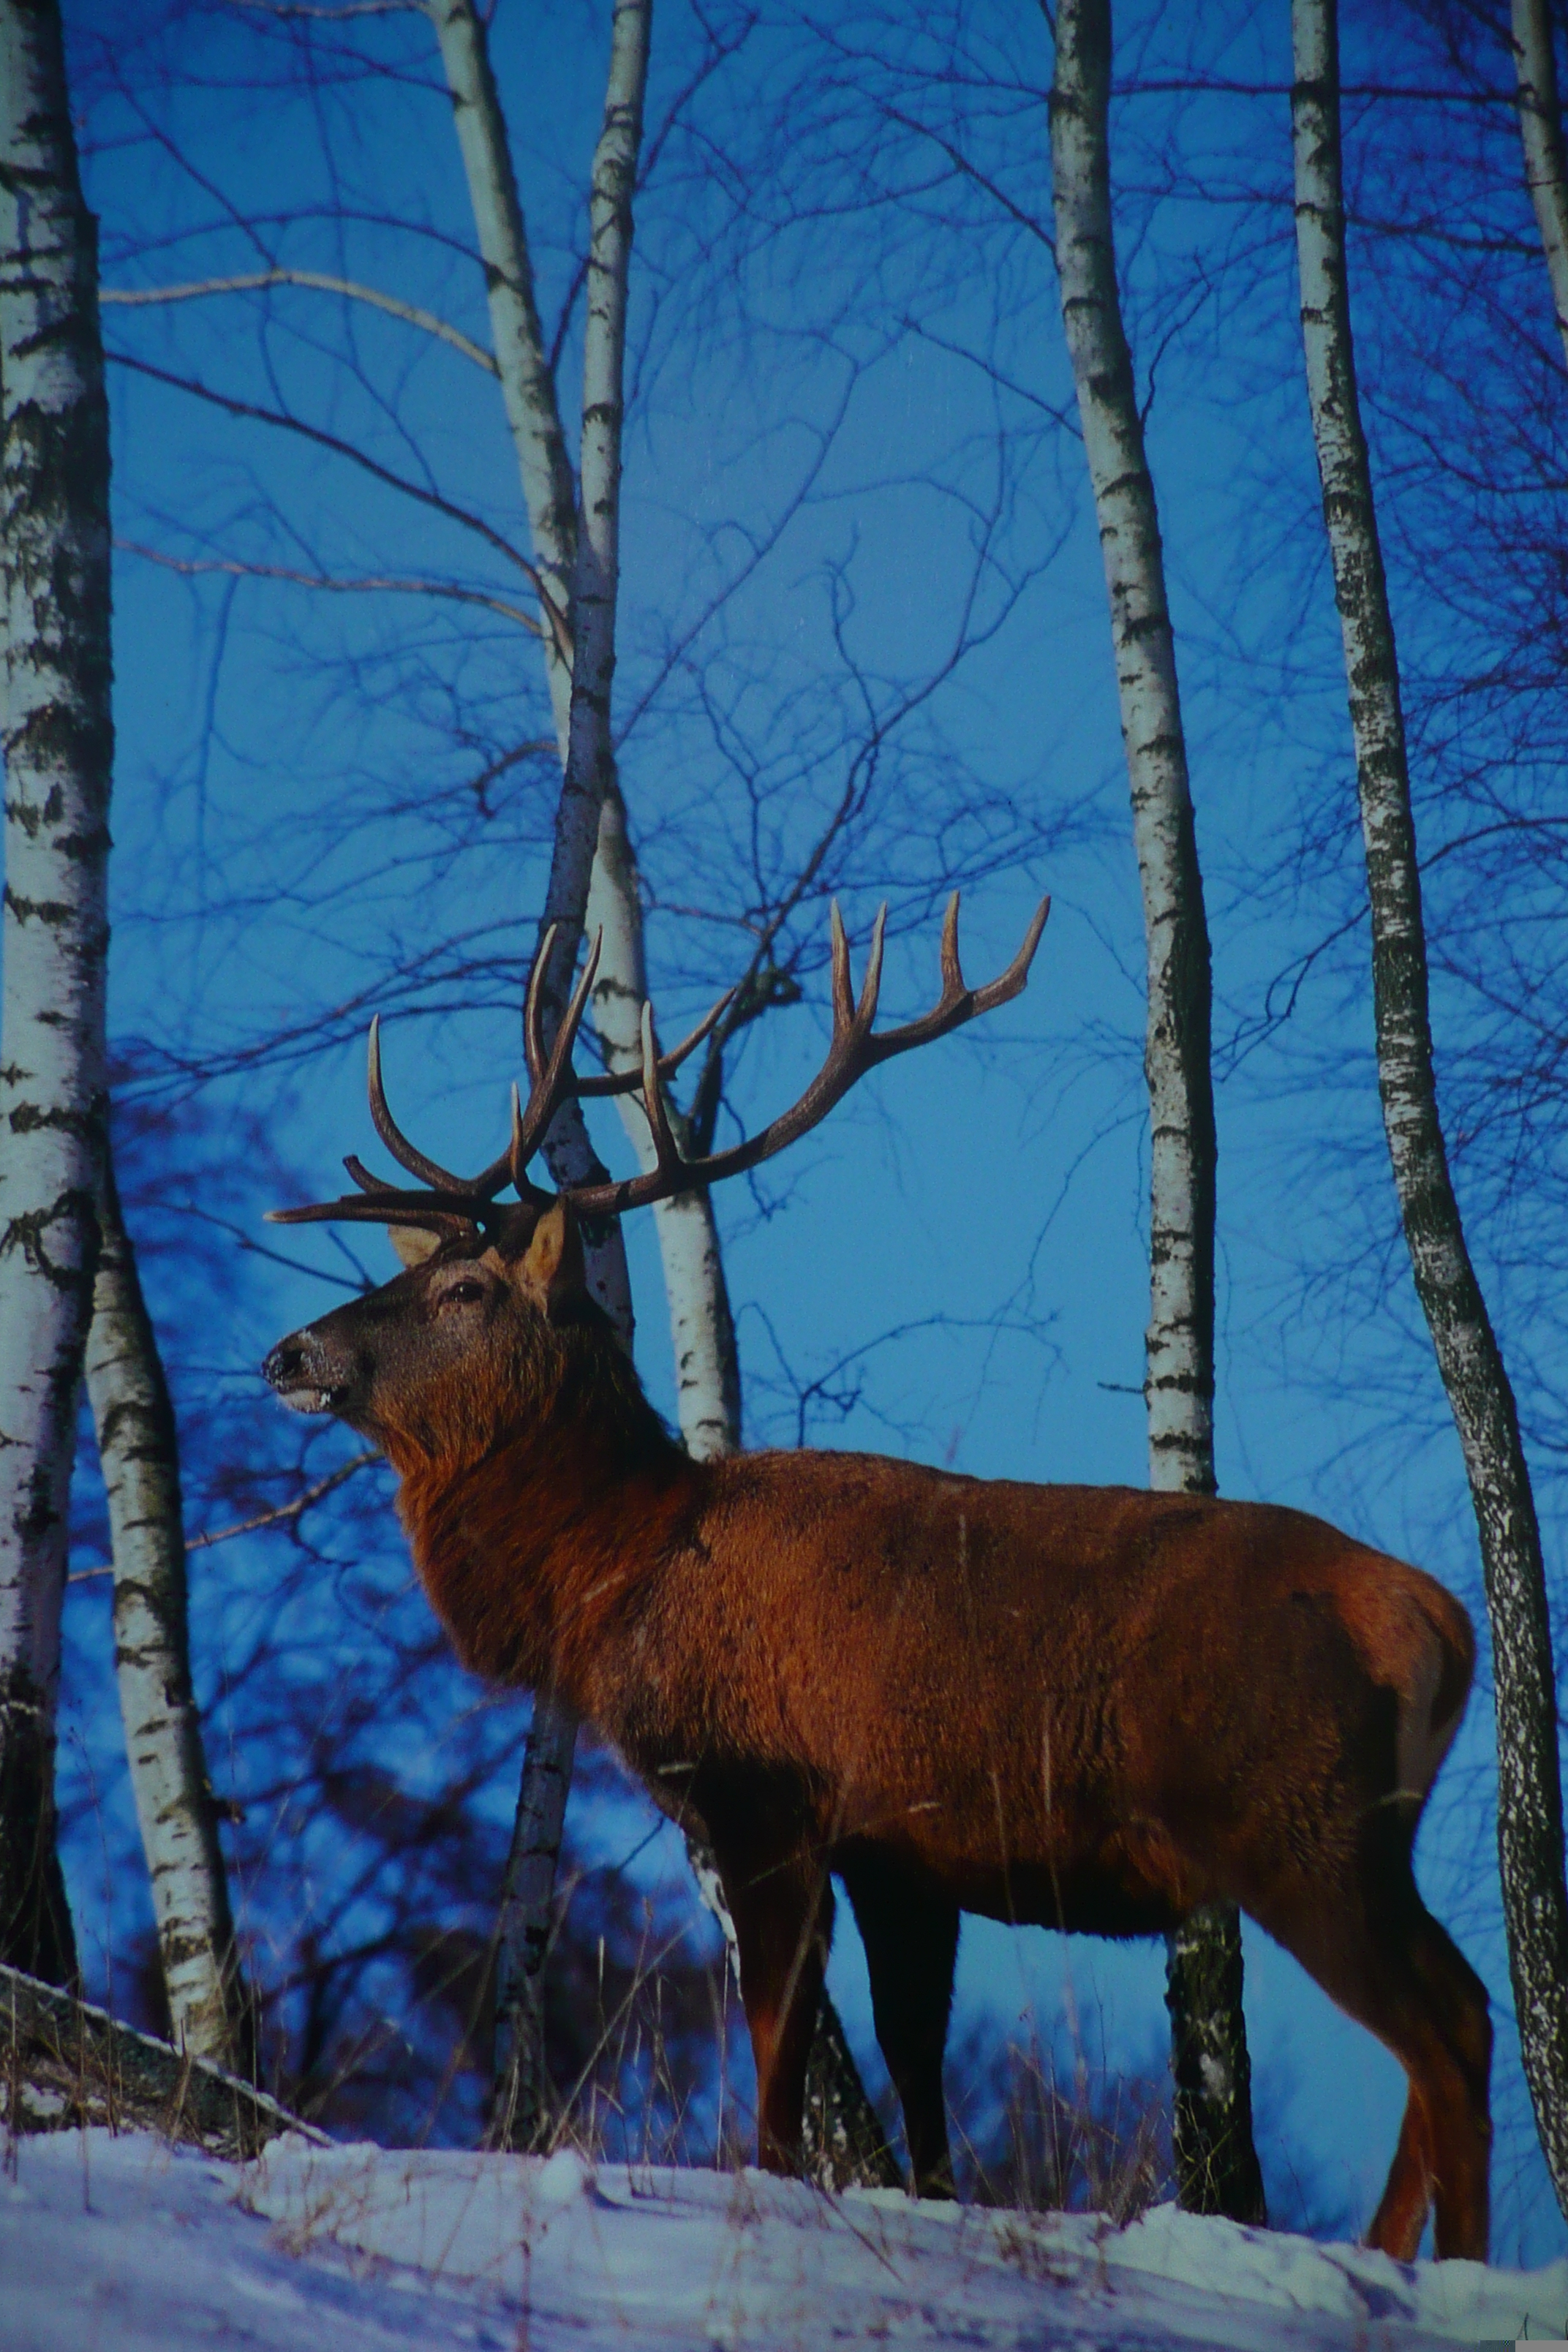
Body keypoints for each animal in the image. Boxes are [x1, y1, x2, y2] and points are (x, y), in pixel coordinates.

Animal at [263, 894, 1495, 2258]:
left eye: (466, 1287)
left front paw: (769, 2189)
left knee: (1446, 2032)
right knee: (1453, 2019)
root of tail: (1437, 1625)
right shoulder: (905, 1854)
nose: (290, 1351)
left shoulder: (765, 1795)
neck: (620, 1571)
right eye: (405, 1270)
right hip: (1358, 1832)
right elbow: (916, 2068)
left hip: (1294, 1820)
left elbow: (776, 2045)